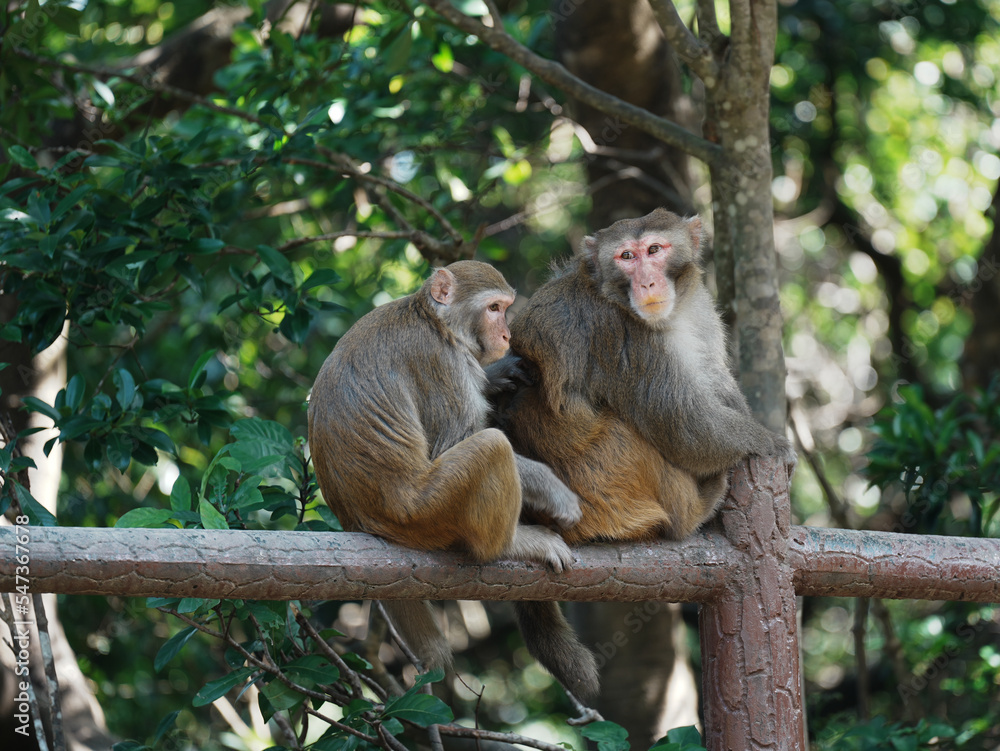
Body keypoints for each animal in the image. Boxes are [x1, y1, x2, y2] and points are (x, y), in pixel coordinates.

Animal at [307, 260, 592, 690]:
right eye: (494, 308)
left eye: (505, 308)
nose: (506, 335)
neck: (434, 320)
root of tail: (360, 520)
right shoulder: (439, 362)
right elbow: (455, 442)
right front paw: (555, 492)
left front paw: (498, 373)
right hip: (426, 511)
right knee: (492, 446)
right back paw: (511, 545)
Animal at [492, 208, 797, 700]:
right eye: (626, 257)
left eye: (654, 250)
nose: (647, 282)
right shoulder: (620, 335)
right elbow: (688, 425)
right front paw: (775, 445)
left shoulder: (699, 311)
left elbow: (716, 385)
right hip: (611, 483)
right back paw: (696, 509)